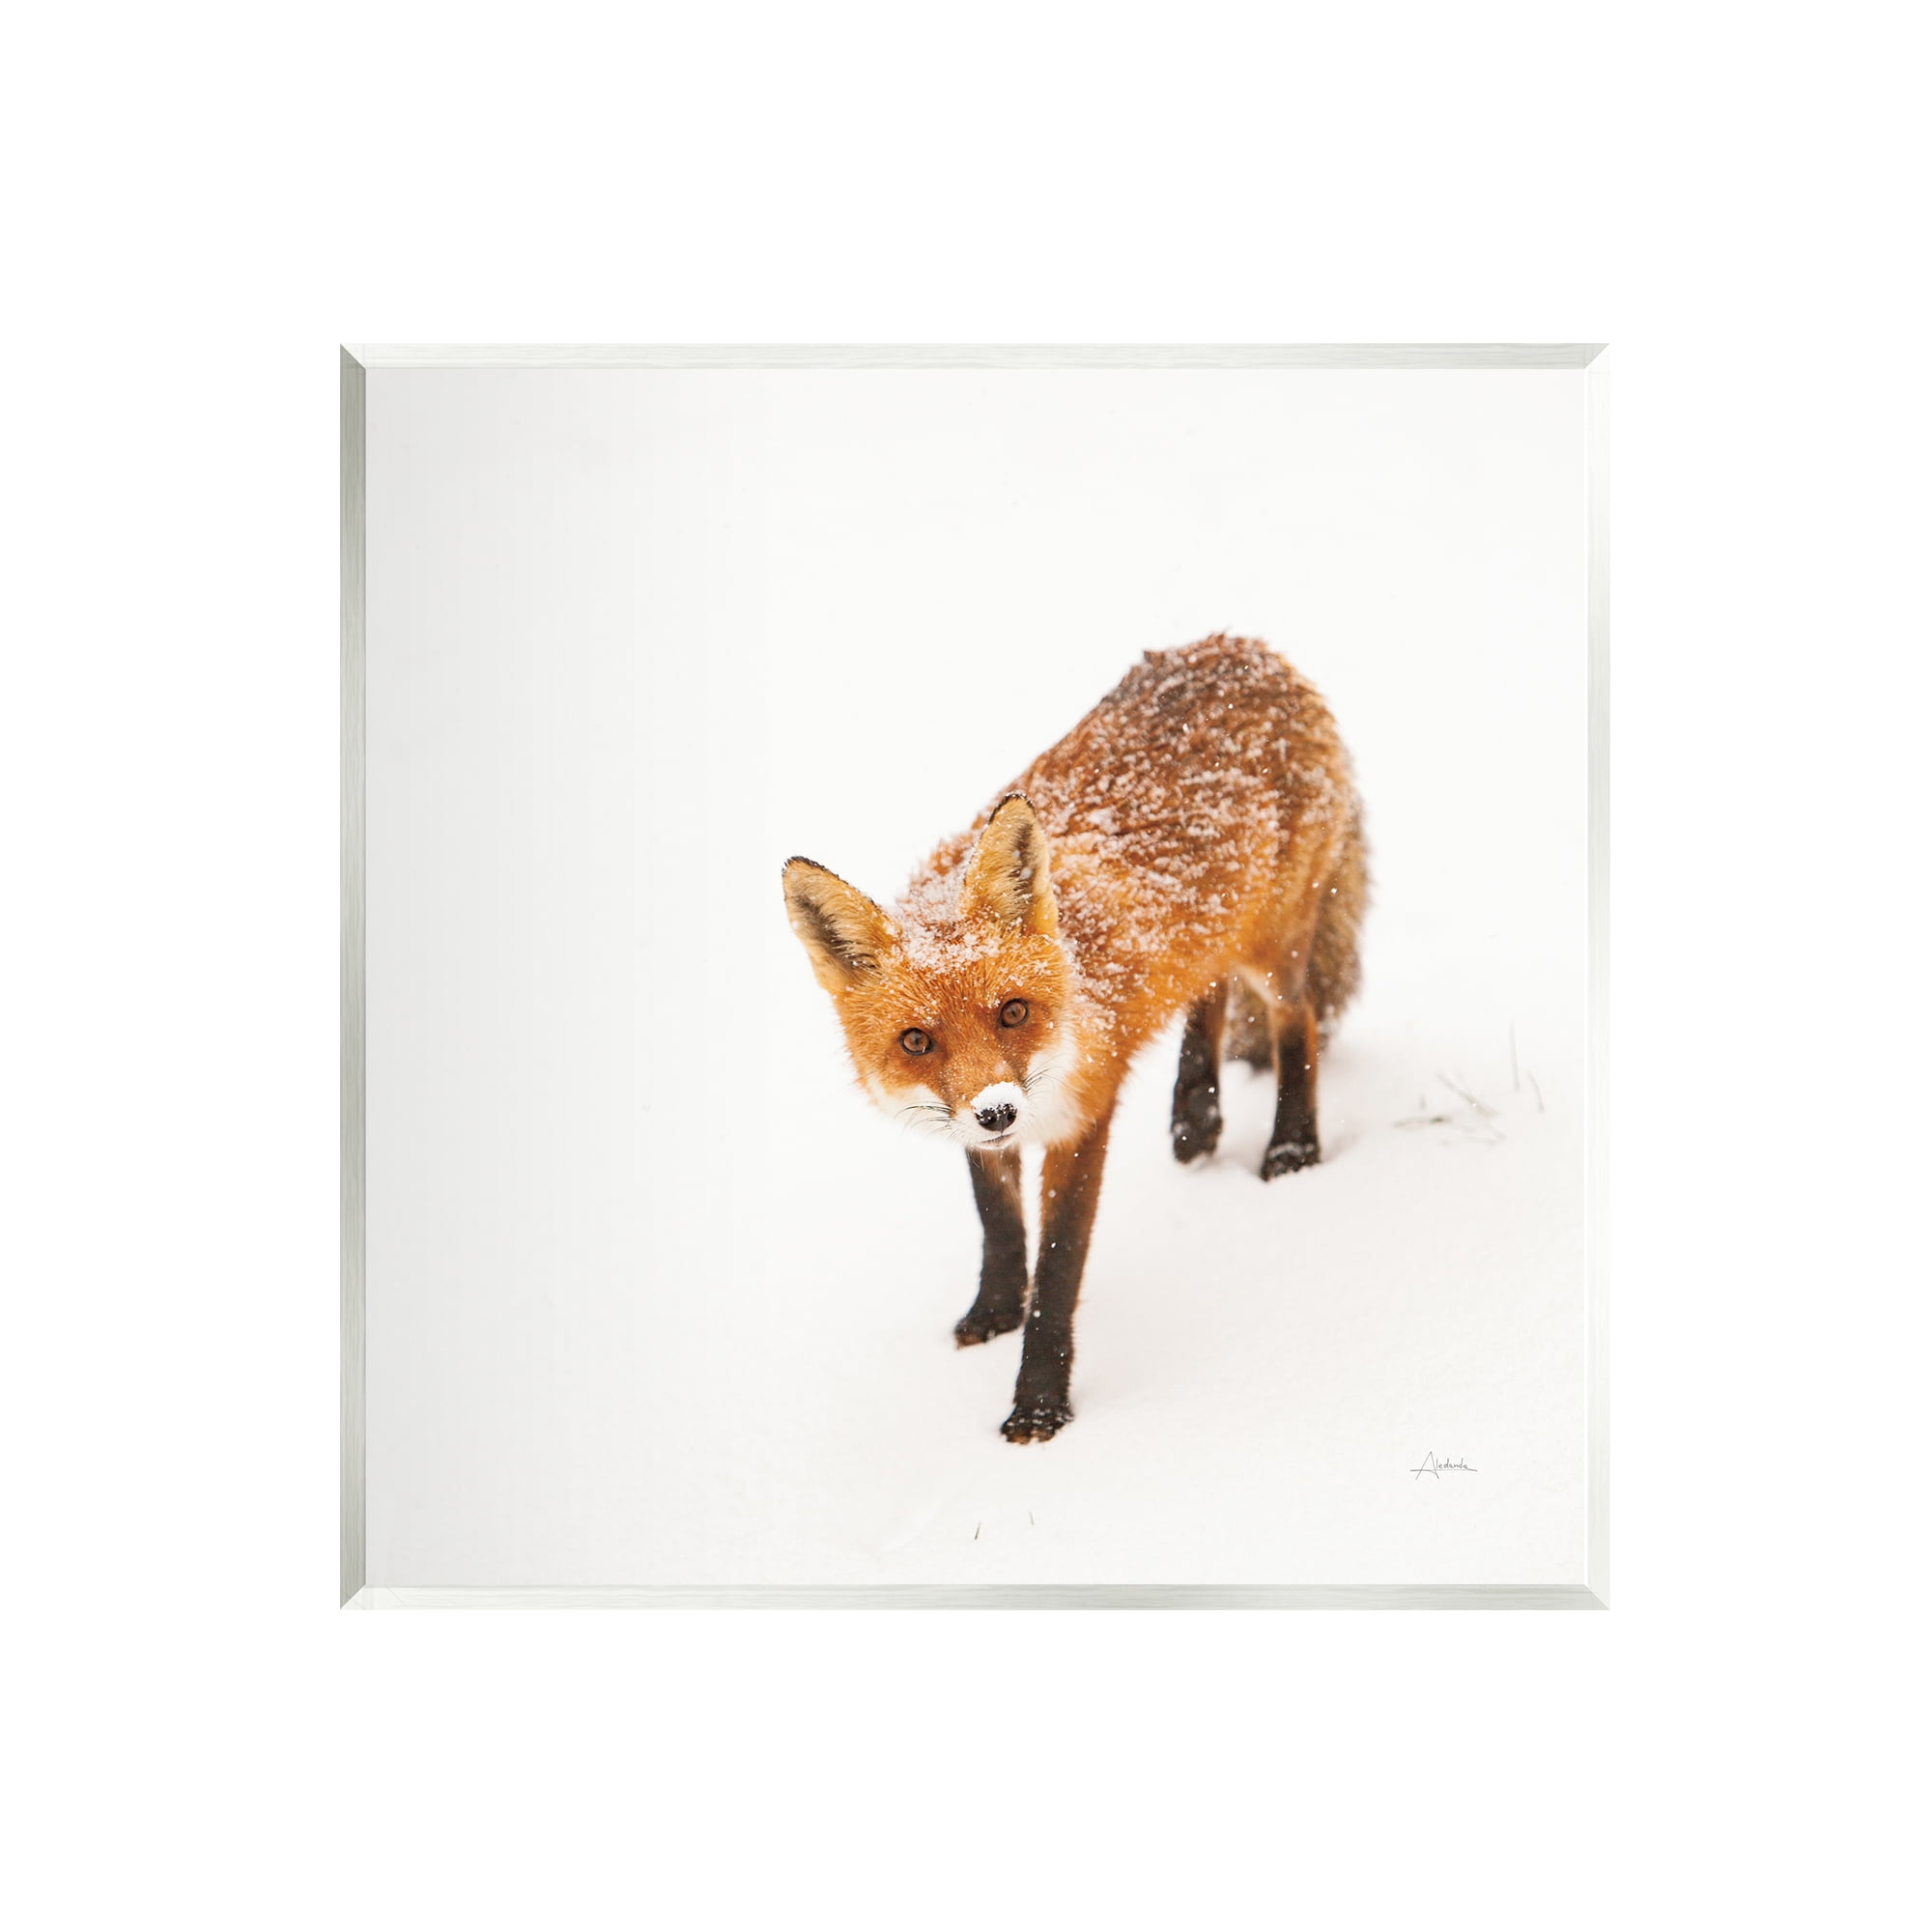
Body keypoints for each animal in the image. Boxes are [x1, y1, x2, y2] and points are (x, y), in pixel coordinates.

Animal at [782, 633, 1367, 1443]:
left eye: (1013, 1013)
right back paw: (1196, 1116)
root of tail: (1243, 646)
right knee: (1208, 990)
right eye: (917, 1042)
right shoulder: (977, 1129)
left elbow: (1058, 1270)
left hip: (1274, 947)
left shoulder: (1084, 1117)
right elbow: (998, 1224)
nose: (998, 1112)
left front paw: (1039, 1405)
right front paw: (994, 1310)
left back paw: (1291, 1148)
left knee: (1296, 1022)